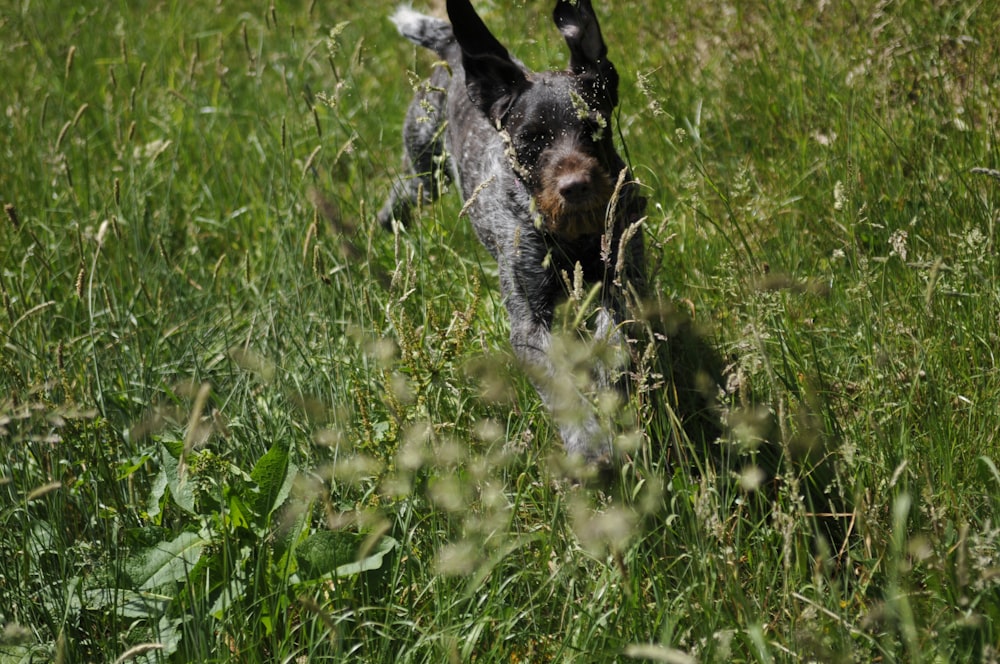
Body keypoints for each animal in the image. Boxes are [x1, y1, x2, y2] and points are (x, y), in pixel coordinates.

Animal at [378, 0, 652, 466]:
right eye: (529, 140)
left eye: (594, 127)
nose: (575, 187)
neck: (572, 237)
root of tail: (453, 47)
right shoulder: (529, 322)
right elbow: (562, 386)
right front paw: (588, 441)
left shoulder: (624, 276)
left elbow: (612, 336)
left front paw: (602, 372)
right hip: (424, 172)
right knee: (398, 199)